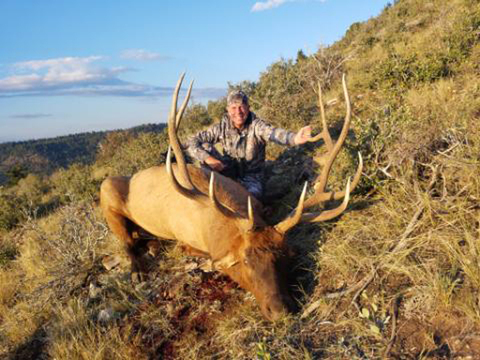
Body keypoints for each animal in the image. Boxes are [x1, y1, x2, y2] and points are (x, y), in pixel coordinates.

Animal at [101, 73, 364, 320]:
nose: (280, 311)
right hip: (107, 191)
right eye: (245, 260)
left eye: (287, 255)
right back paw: (138, 270)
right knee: (126, 240)